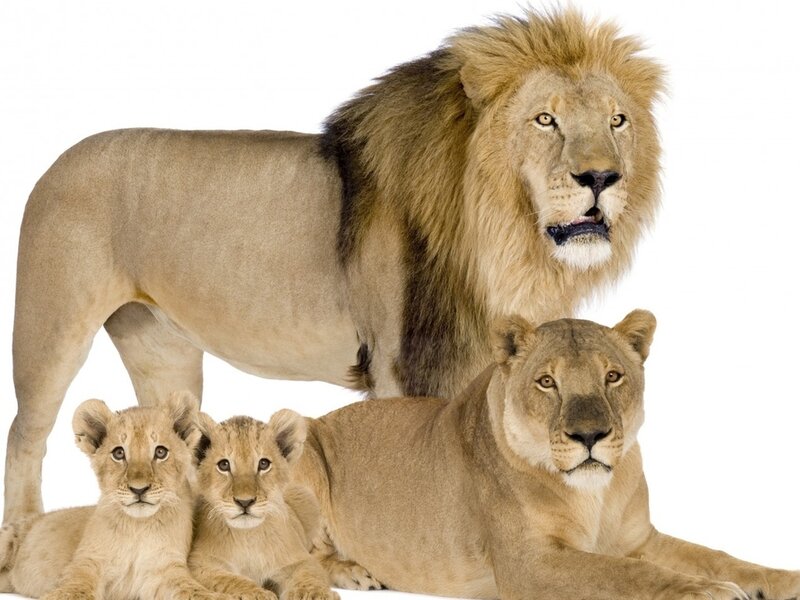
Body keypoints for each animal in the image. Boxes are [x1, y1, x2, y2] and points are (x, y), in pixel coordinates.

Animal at [0, 392, 223, 600]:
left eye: (160, 452)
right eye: (118, 453)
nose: (139, 489)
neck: (137, 528)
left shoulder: (165, 570)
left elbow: (195, 591)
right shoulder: (87, 562)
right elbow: (74, 589)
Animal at [5, 9, 664, 523]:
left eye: (617, 120)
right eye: (545, 119)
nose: (602, 177)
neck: (503, 238)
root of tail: (55, 160)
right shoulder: (401, 363)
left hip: (162, 349)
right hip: (51, 331)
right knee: (24, 436)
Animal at [188, 411, 339, 600]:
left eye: (263, 464)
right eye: (224, 465)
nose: (245, 502)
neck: (248, 535)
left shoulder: (300, 559)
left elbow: (309, 576)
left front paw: (317, 594)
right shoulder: (199, 564)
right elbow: (230, 579)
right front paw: (258, 594)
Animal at [296, 311, 800, 600]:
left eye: (613, 376)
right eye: (546, 382)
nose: (590, 435)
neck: (595, 494)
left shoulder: (641, 540)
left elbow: (719, 556)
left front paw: (781, 579)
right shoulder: (530, 565)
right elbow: (623, 575)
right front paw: (710, 592)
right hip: (302, 443)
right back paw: (356, 573)